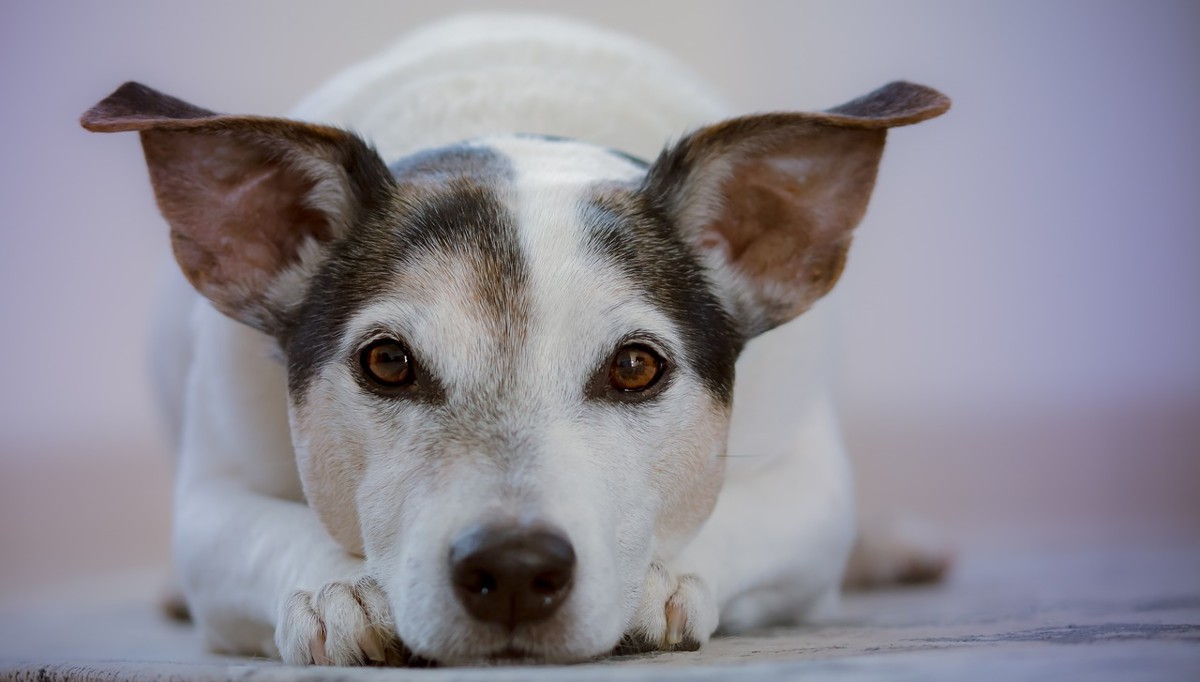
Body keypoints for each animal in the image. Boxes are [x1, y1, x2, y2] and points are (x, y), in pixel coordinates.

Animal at [79, 13, 950, 667]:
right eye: (386, 362)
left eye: (637, 367)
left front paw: (657, 580)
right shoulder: (211, 496)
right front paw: (339, 588)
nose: (515, 567)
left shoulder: (812, 486)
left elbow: (742, 515)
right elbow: (260, 531)